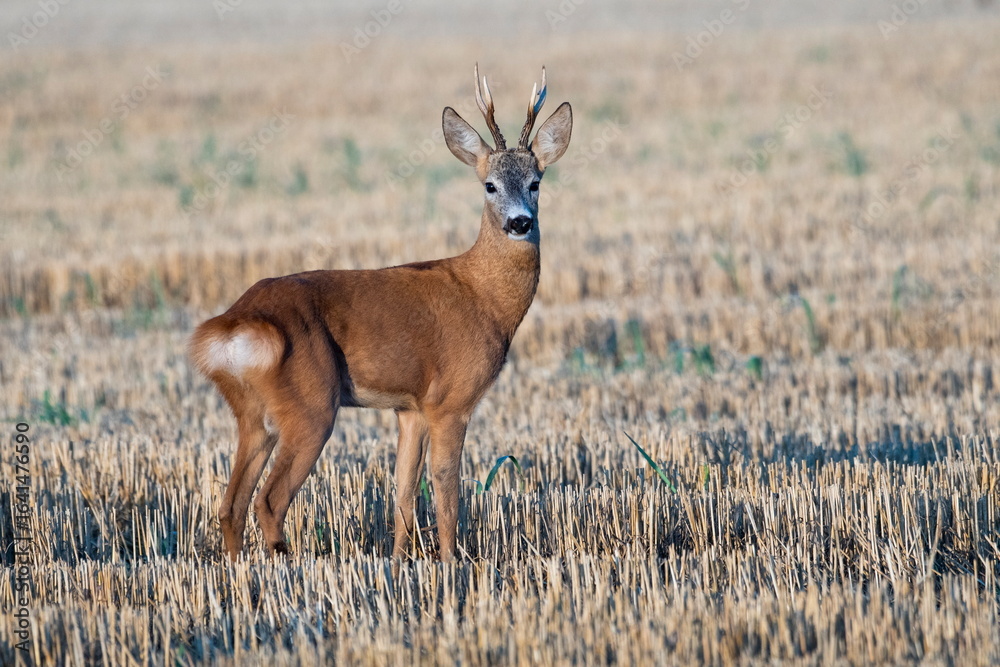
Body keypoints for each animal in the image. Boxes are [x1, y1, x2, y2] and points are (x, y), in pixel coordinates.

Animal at [188, 65, 572, 562]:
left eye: (535, 183)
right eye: (489, 185)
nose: (520, 222)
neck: (484, 297)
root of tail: (236, 321)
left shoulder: (409, 408)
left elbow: (403, 494)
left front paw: (398, 561)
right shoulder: (450, 400)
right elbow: (446, 490)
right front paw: (451, 561)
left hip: (252, 413)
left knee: (230, 504)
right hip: (312, 402)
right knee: (268, 500)